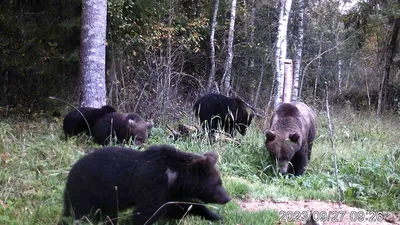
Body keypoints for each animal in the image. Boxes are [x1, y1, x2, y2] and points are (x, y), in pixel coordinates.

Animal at [57, 145, 230, 224]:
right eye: (217, 184)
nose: (227, 198)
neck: (173, 176)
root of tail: (70, 172)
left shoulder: (169, 193)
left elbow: (182, 207)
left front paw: (215, 216)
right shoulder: (153, 184)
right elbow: (146, 213)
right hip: (87, 190)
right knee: (82, 212)